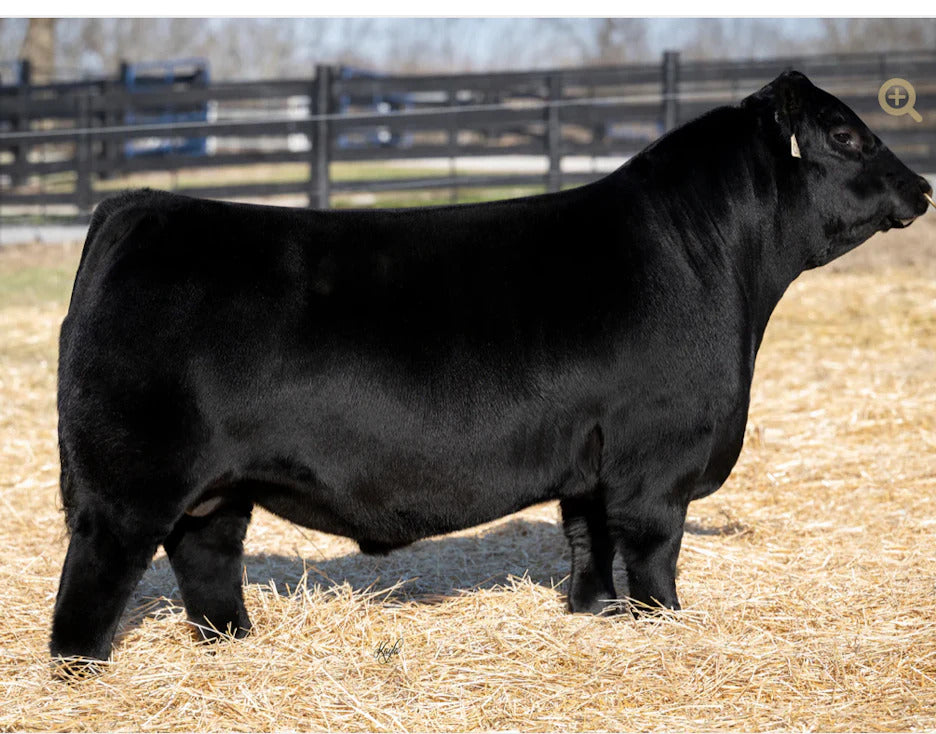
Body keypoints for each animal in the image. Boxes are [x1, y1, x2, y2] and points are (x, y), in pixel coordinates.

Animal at [51, 70, 932, 675]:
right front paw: (662, 626)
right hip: (125, 488)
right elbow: (655, 554)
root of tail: (138, 206)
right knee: (93, 584)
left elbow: (587, 542)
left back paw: (234, 644)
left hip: (217, 487)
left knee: (208, 558)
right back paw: (82, 675)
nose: (922, 186)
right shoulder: (658, 463)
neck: (714, 264)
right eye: (847, 137)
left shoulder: (591, 463)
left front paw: (591, 614)